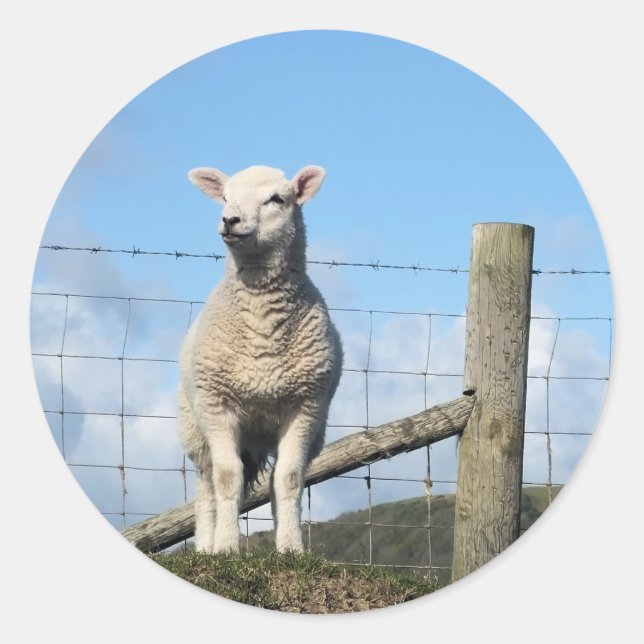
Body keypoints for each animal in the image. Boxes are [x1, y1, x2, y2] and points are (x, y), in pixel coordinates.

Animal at [178, 164, 343, 554]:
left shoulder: (306, 405)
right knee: (207, 486)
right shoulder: (216, 403)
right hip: (195, 428)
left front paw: (292, 549)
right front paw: (225, 547)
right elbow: (226, 478)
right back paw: (205, 546)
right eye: (225, 196)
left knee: (273, 481)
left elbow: (290, 479)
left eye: (276, 199)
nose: (230, 220)